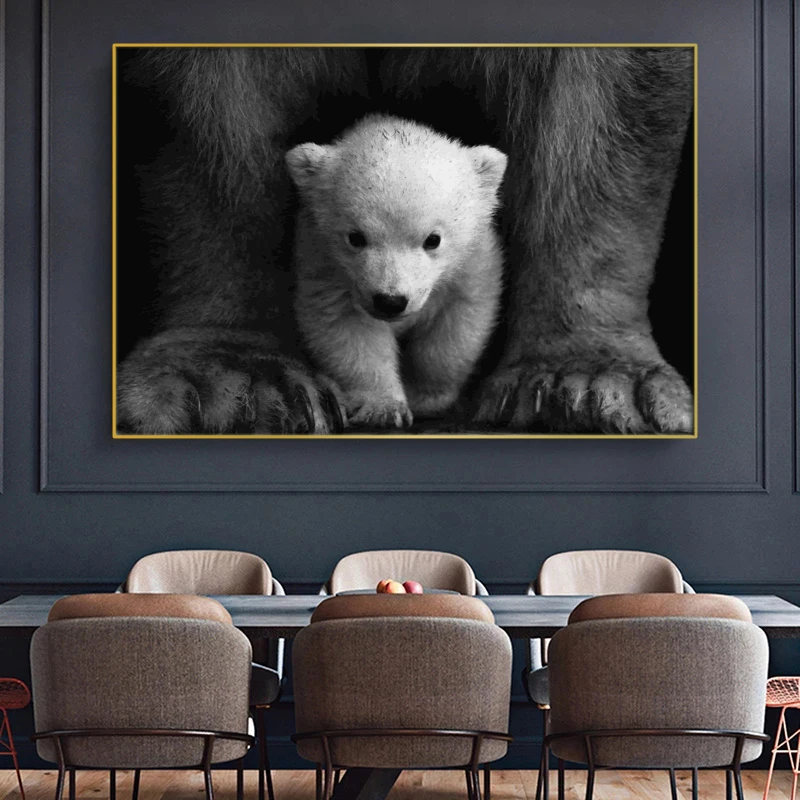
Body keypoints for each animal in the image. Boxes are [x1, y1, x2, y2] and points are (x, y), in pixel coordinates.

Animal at [285, 115, 507, 430]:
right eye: (355, 237)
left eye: (433, 239)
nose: (390, 301)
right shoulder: (325, 266)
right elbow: (348, 331)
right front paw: (383, 408)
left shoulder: (472, 265)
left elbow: (455, 329)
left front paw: (426, 397)